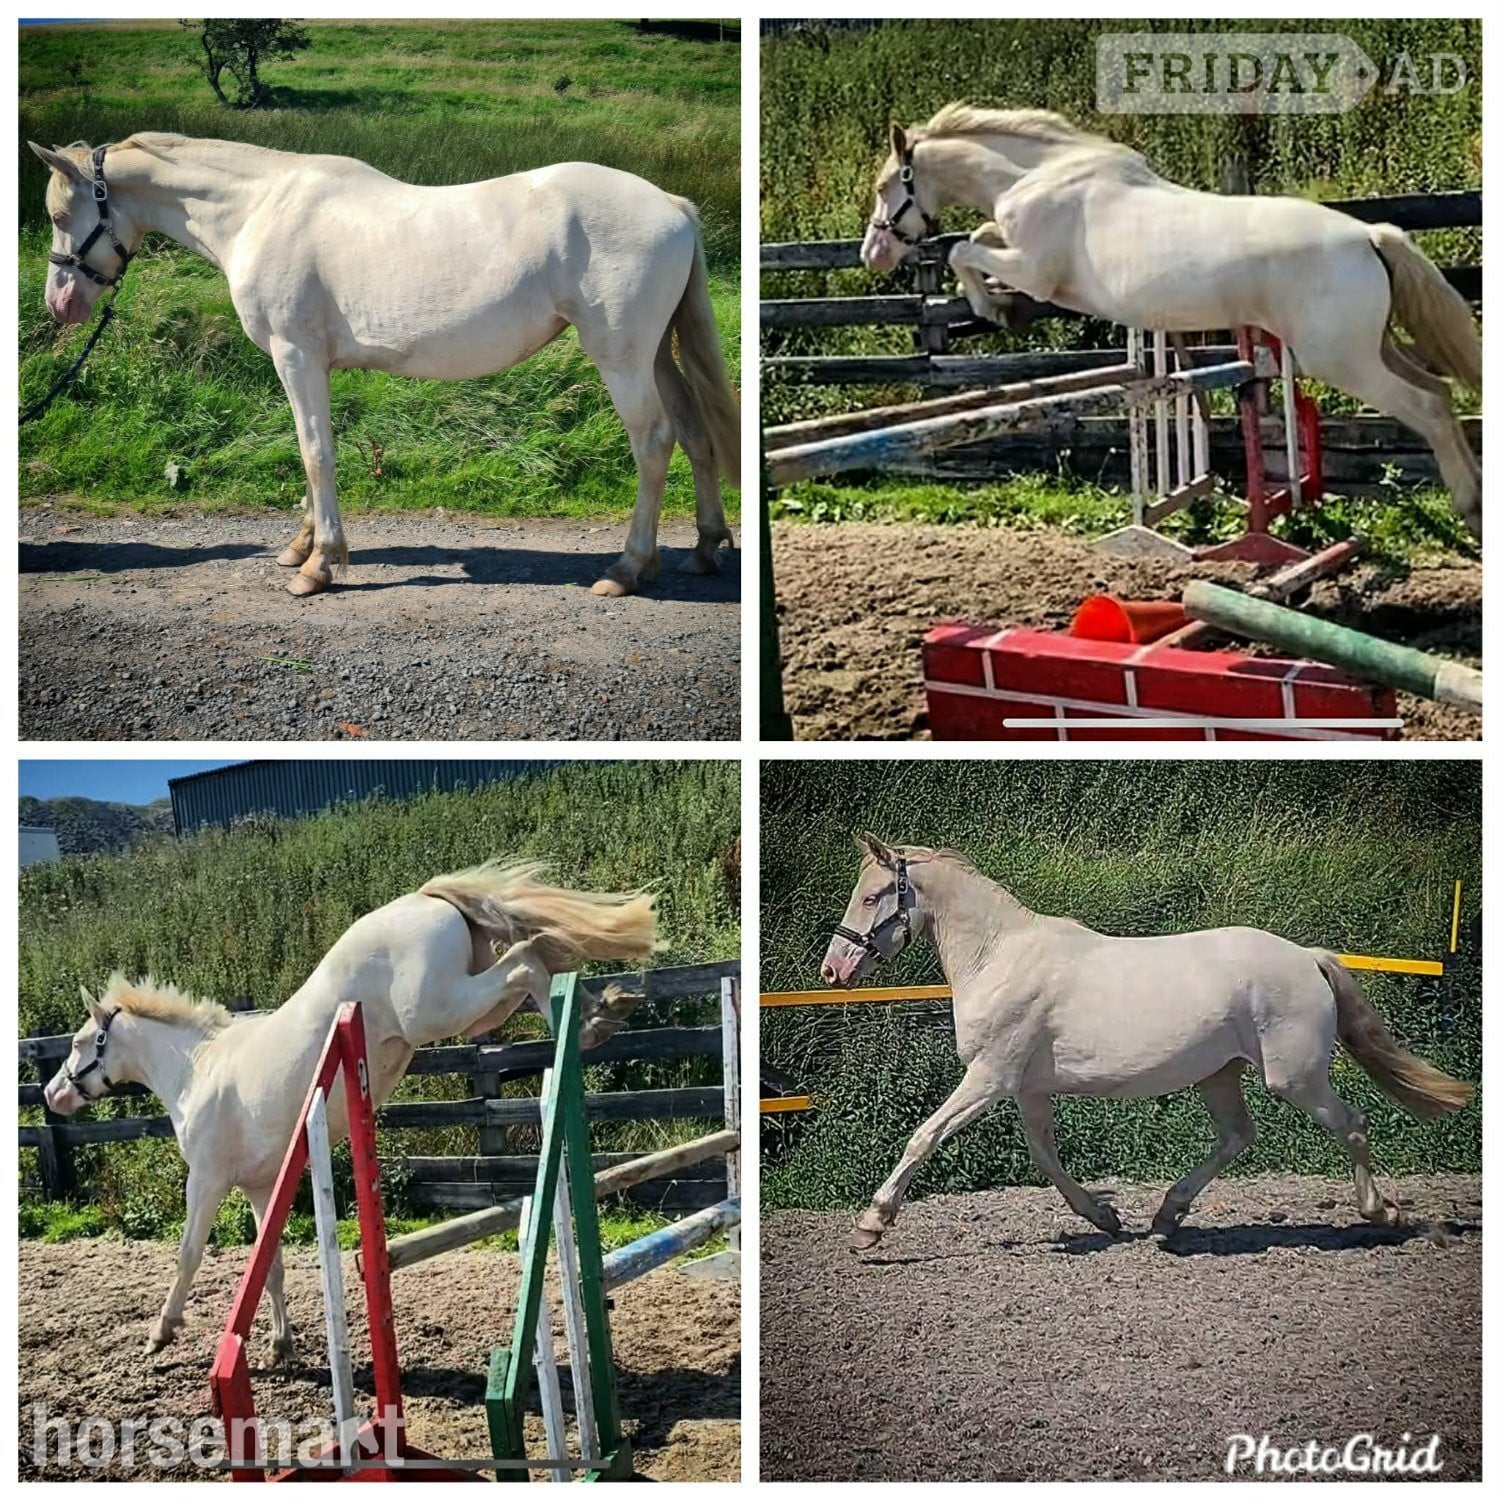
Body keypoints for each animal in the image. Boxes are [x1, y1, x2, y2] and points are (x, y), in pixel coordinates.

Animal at [28, 133, 740, 596]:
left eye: (61, 213)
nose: (60, 304)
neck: (259, 209)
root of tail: (672, 205)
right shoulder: (309, 364)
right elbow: (311, 451)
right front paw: (300, 546)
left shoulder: (295, 355)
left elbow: (316, 453)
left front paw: (320, 566)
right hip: (657, 354)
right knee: (695, 435)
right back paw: (704, 550)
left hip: (622, 357)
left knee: (654, 442)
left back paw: (628, 567)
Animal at [43, 861, 658, 1358]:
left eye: (79, 1042)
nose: (53, 1095)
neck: (197, 1069)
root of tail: (424, 898)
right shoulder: (260, 1188)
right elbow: (270, 1265)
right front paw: (280, 1346)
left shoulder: (208, 1180)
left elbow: (189, 1253)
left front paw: (160, 1332)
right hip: (471, 1010)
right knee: (535, 963)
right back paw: (601, 1012)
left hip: (439, 1010)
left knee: (526, 961)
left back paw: (586, 1025)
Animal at [822, 834, 1473, 1250]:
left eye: (873, 895)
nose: (833, 970)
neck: (999, 957)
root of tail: (1308, 957)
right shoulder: (1028, 1088)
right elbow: (1045, 1156)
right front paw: (1105, 1218)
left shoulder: (989, 1077)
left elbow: (923, 1136)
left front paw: (871, 1225)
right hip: (1220, 1073)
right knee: (1238, 1136)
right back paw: (1165, 1218)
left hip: (1294, 1077)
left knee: (1351, 1124)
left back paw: (1382, 1211)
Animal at [860, 105, 1481, 539]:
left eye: (885, 186)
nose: (873, 255)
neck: (1034, 176)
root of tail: (1371, 235)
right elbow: (980, 237)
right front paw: (993, 304)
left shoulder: (1036, 273)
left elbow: (963, 249)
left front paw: (993, 308)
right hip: (1374, 349)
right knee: (1440, 393)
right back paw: (1476, 499)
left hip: (1342, 360)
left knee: (1426, 407)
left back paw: (1467, 507)